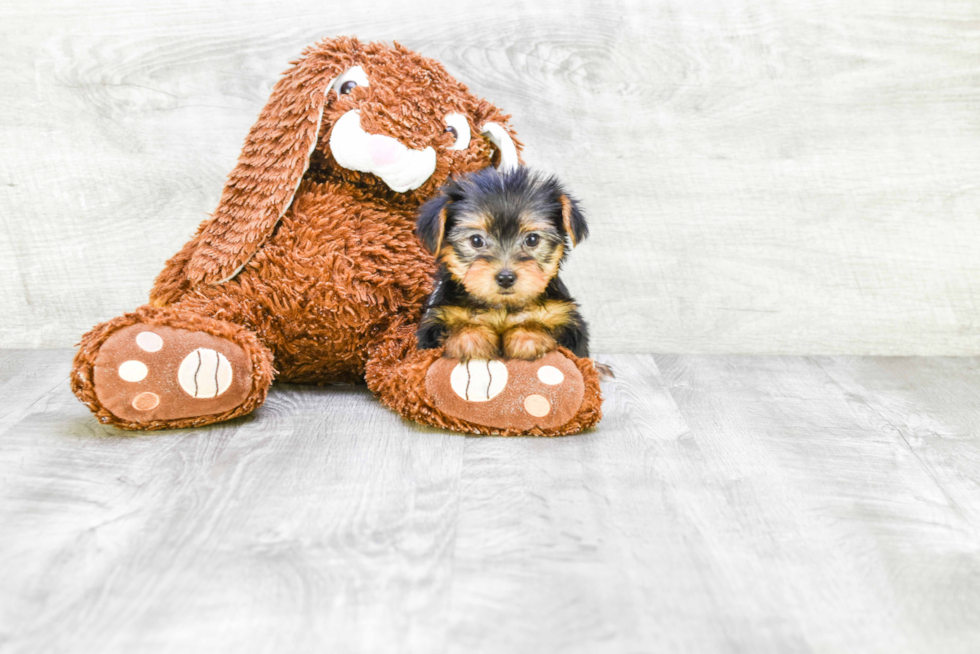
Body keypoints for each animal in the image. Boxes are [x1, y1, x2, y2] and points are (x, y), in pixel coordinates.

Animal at [414, 168, 588, 364]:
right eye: (476, 240)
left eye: (532, 239)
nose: (505, 278)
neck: (502, 308)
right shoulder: (436, 322)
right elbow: (461, 326)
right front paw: (472, 338)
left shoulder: (563, 318)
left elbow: (536, 325)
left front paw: (528, 337)